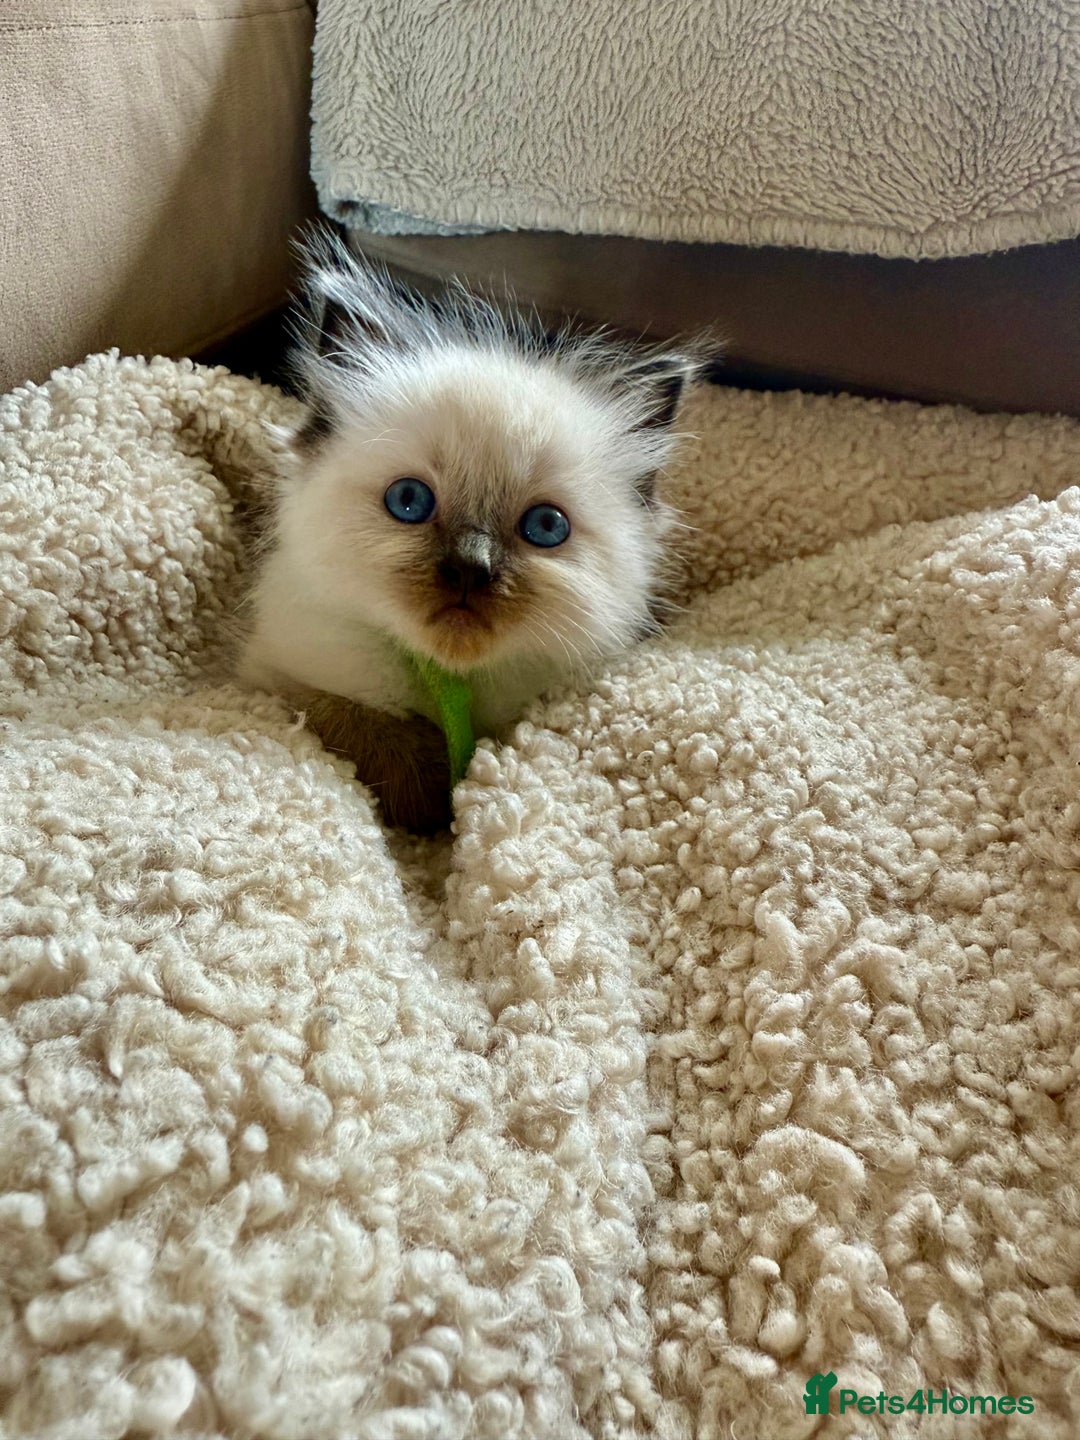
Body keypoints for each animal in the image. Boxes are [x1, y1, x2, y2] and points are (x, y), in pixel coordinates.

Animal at [239, 230, 710, 831]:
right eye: (409, 501)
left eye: (545, 526)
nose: (470, 567)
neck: (450, 684)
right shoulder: (273, 678)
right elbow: (361, 726)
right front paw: (432, 789)